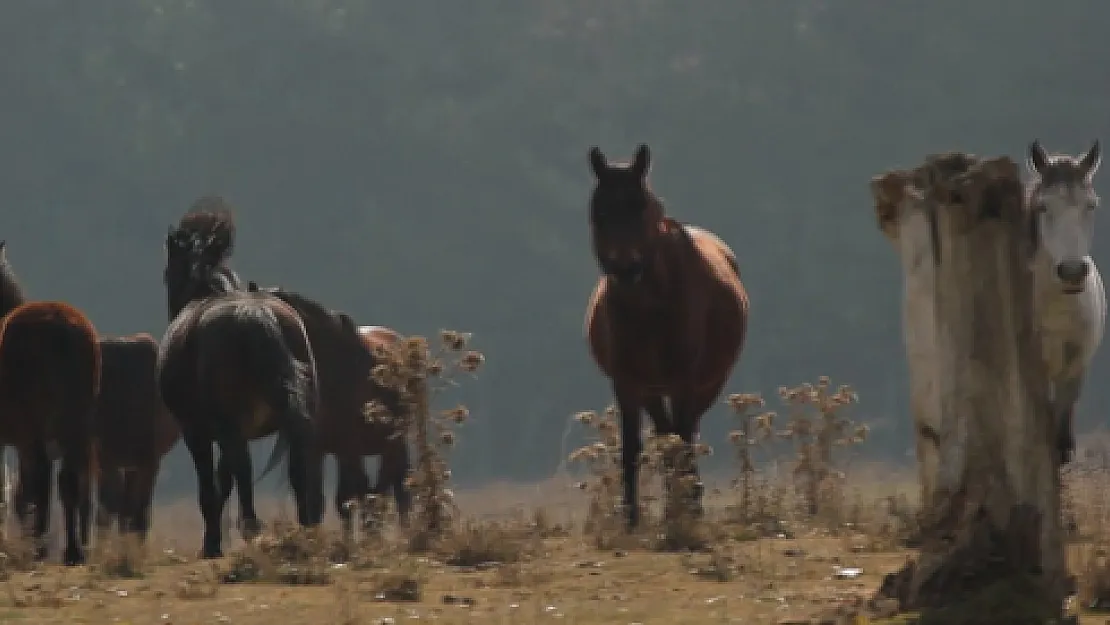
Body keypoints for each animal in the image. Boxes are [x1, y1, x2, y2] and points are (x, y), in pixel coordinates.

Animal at [0, 239, 100, 561]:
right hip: (75, 424)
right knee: (68, 480)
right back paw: (72, 551)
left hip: (33, 428)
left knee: (41, 479)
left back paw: (40, 548)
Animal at [160, 202, 324, 557]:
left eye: (167, 271)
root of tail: (257, 315)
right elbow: (224, 483)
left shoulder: (197, 432)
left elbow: (211, 488)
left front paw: (211, 545)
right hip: (287, 421)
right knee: (297, 466)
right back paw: (306, 528)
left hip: (225, 427)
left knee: (243, 467)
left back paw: (251, 528)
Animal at [581, 145, 745, 528]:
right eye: (599, 211)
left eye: (641, 205)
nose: (625, 268)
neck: (649, 308)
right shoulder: (626, 383)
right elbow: (633, 447)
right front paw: (630, 519)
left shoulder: (683, 380)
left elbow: (681, 441)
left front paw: (683, 512)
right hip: (652, 390)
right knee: (666, 431)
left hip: (706, 384)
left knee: (686, 432)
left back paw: (689, 501)